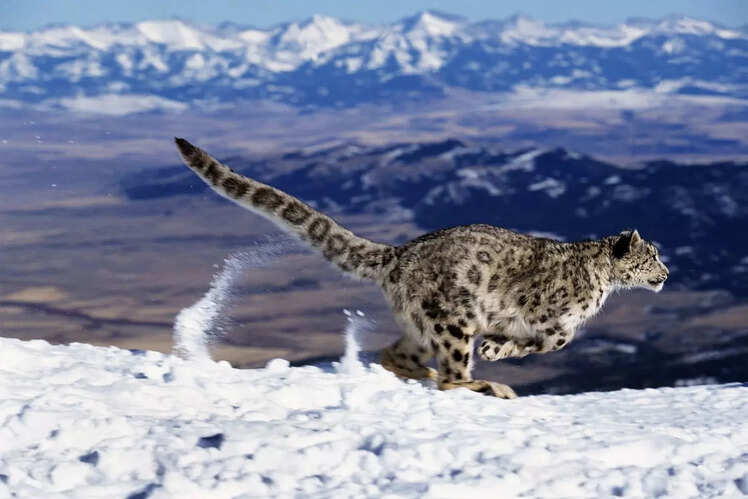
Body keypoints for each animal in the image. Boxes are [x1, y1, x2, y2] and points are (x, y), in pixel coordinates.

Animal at [175, 138, 669, 398]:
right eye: (651, 256)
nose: (666, 274)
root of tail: (400, 253)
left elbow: (546, 341)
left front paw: (498, 348)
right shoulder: (547, 316)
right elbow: (555, 339)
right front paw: (499, 351)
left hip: (423, 325)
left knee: (397, 355)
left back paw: (428, 374)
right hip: (454, 321)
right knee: (452, 377)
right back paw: (488, 385)